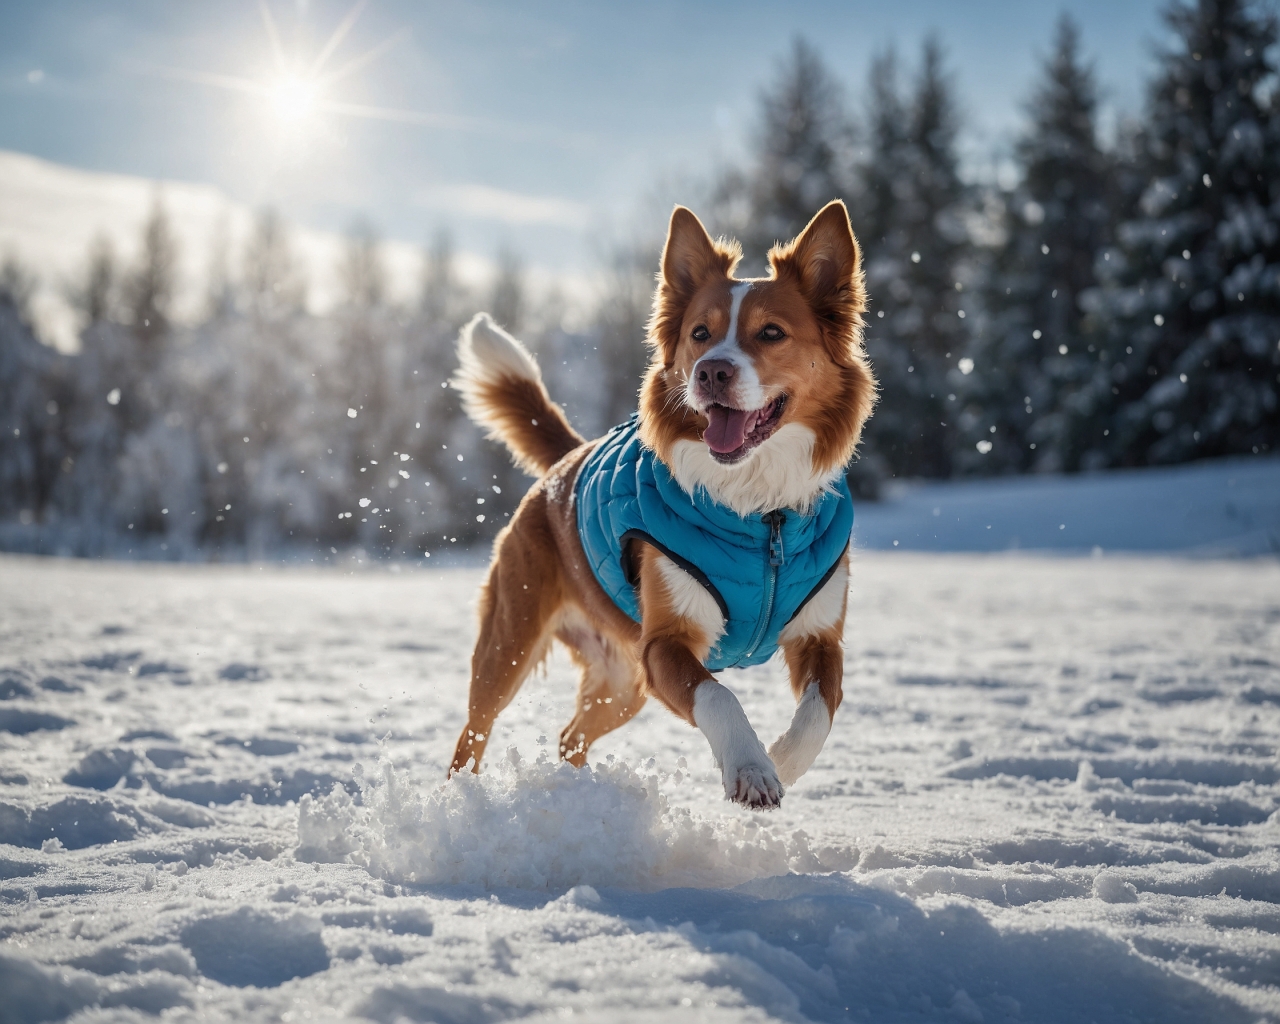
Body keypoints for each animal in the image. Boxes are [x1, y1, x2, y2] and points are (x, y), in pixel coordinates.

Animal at [445, 199, 875, 808]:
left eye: (772, 333)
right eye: (700, 333)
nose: (711, 370)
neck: (756, 505)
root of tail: (564, 464)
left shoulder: (820, 638)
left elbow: (822, 707)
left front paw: (783, 762)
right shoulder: (665, 644)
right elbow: (718, 696)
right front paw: (751, 767)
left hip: (622, 682)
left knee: (570, 737)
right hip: (510, 642)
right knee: (472, 734)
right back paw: (458, 800)